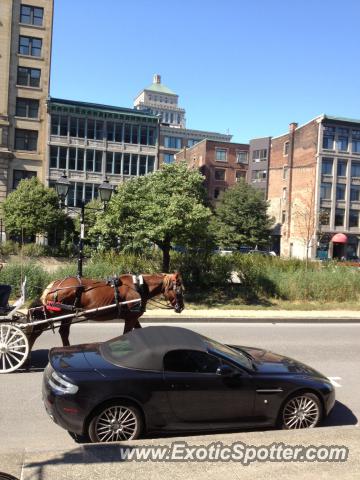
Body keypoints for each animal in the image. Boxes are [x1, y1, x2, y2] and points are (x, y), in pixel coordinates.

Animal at [25, 274, 184, 352]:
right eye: (178, 289)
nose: (181, 307)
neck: (138, 287)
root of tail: (55, 285)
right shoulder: (131, 318)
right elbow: (127, 333)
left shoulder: (133, 317)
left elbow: (139, 331)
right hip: (58, 312)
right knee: (36, 331)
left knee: (62, 332)